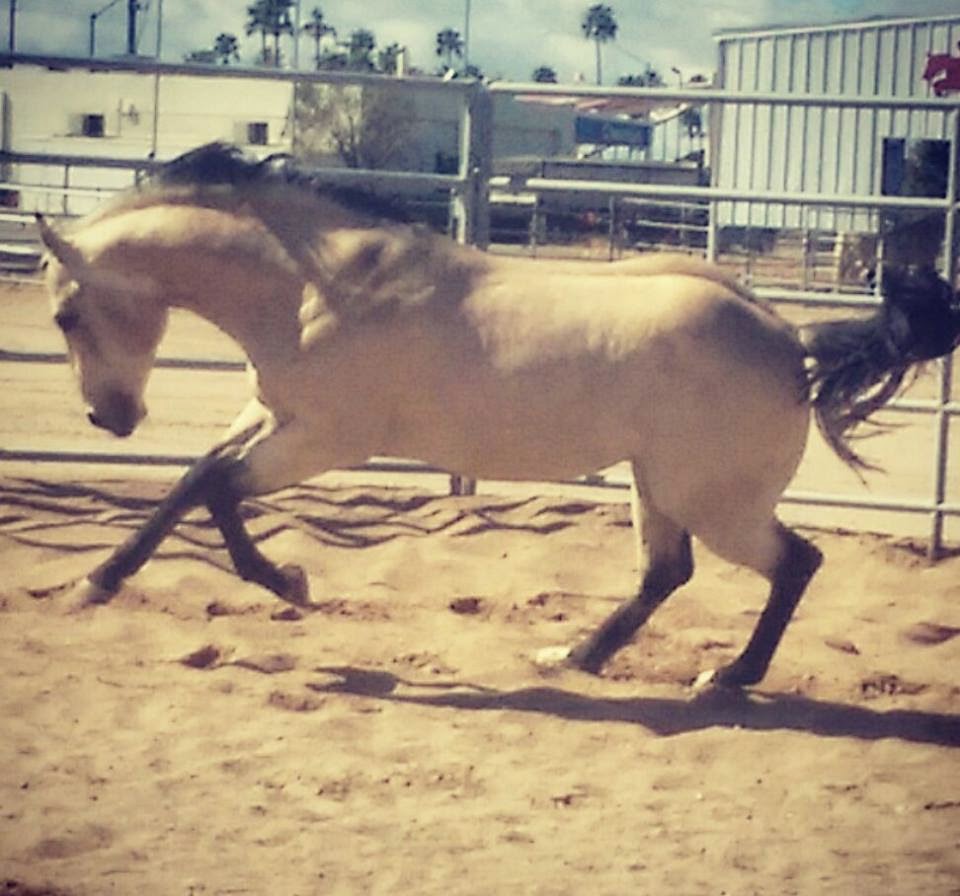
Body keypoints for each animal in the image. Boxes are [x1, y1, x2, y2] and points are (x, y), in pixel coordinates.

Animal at [35, 142, 960, 688]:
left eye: (65, 316)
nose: (109, 419)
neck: (313, 287)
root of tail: (788, 338)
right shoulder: (270, 416)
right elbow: (192, 480)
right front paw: (94, 583)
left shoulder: (325, 439)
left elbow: (219, 490)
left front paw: (289, 582)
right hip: (656, 485)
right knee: (667, 574)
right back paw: (576, 656)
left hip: (713, 500)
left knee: (795, 562)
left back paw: (726, 678)